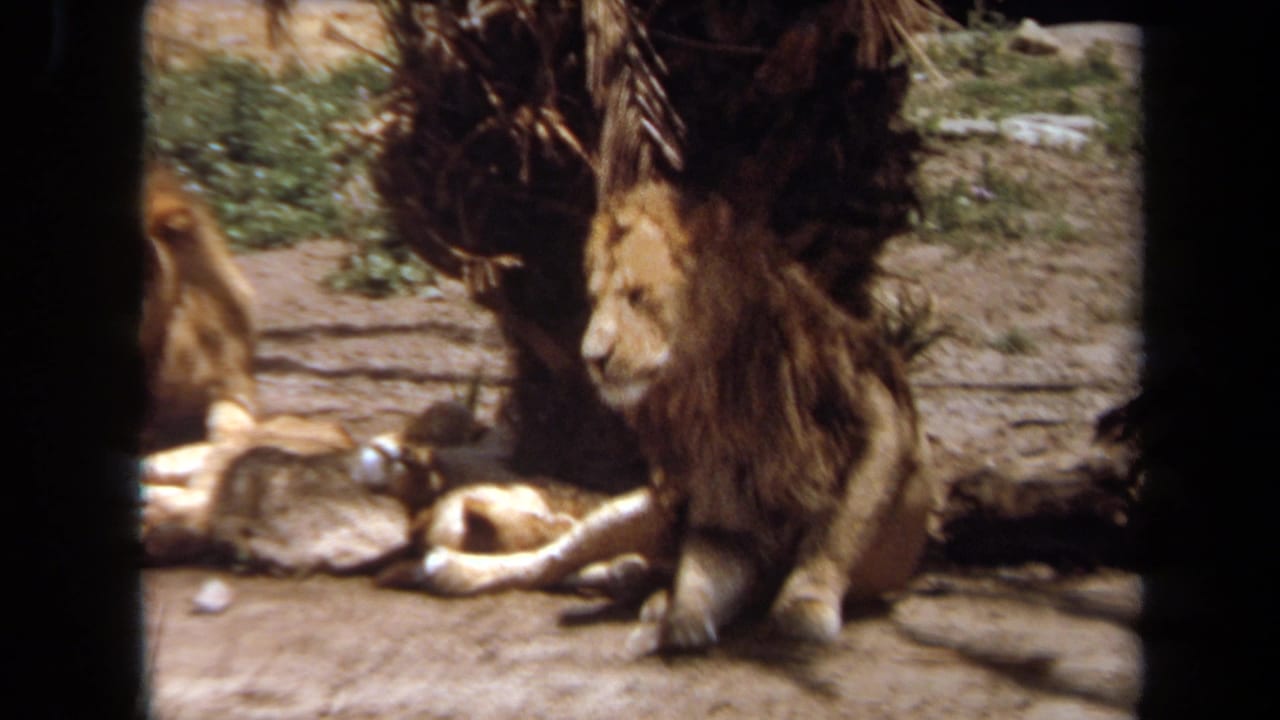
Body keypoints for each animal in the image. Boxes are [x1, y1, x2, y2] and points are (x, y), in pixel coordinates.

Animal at [412, 181, 933, 652]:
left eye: (638, 296)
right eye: (596, 300)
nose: (592, 357)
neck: (724, 390)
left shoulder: (879, 419)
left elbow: (840, 527)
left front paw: (806, 604)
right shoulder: (726, 517)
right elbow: (703, 576)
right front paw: (679, 621)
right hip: (639, 508)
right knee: (554, 556)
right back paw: (456, 570)